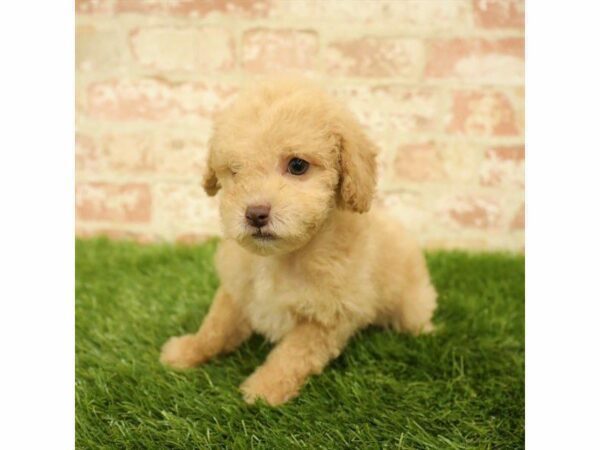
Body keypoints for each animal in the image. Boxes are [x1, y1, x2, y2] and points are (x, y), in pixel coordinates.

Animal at [162, 79, 438, 406]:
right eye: (235, 171)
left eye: (297, 165)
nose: (255, 214)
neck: (282, 256)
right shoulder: (237, 289)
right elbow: (215, 327)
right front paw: (187, 350)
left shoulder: (328, 317)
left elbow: (292, 356)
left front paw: (264, 389)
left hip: (411, 302)